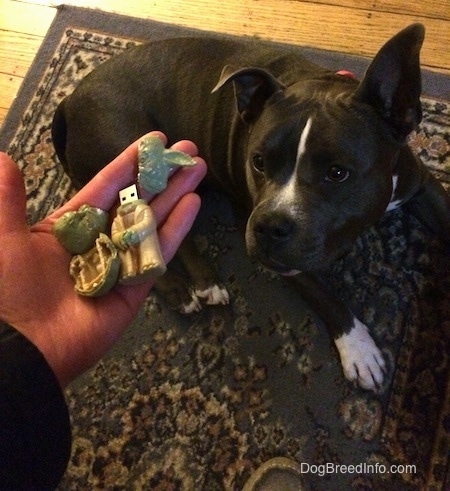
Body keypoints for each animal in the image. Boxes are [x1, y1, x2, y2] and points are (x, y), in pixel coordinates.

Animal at [51, 25, 450, 392]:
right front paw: (359, 348)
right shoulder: (279, 250)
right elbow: (323, 295)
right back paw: (188, 288)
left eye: (338, 173)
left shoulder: (422, 185)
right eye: (258, 161)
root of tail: (68, 103)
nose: (270, 226)